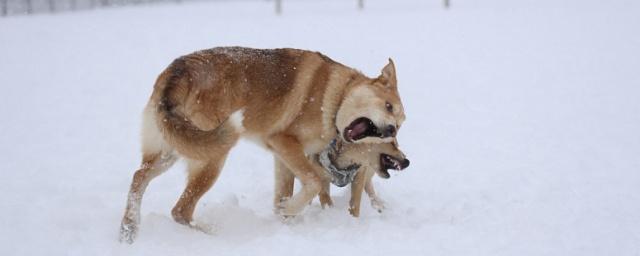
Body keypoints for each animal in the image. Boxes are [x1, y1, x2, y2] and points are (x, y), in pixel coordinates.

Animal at [272, 139, 408, 217]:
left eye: (397, 144)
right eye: (393, 144)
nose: (407, 162)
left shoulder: (360, 172)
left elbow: (355, 202)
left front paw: (354, 221)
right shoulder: (319, 175)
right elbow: (324, 196)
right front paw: (330, 214)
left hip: (369, 170)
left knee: (369, 186)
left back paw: (378, 205)